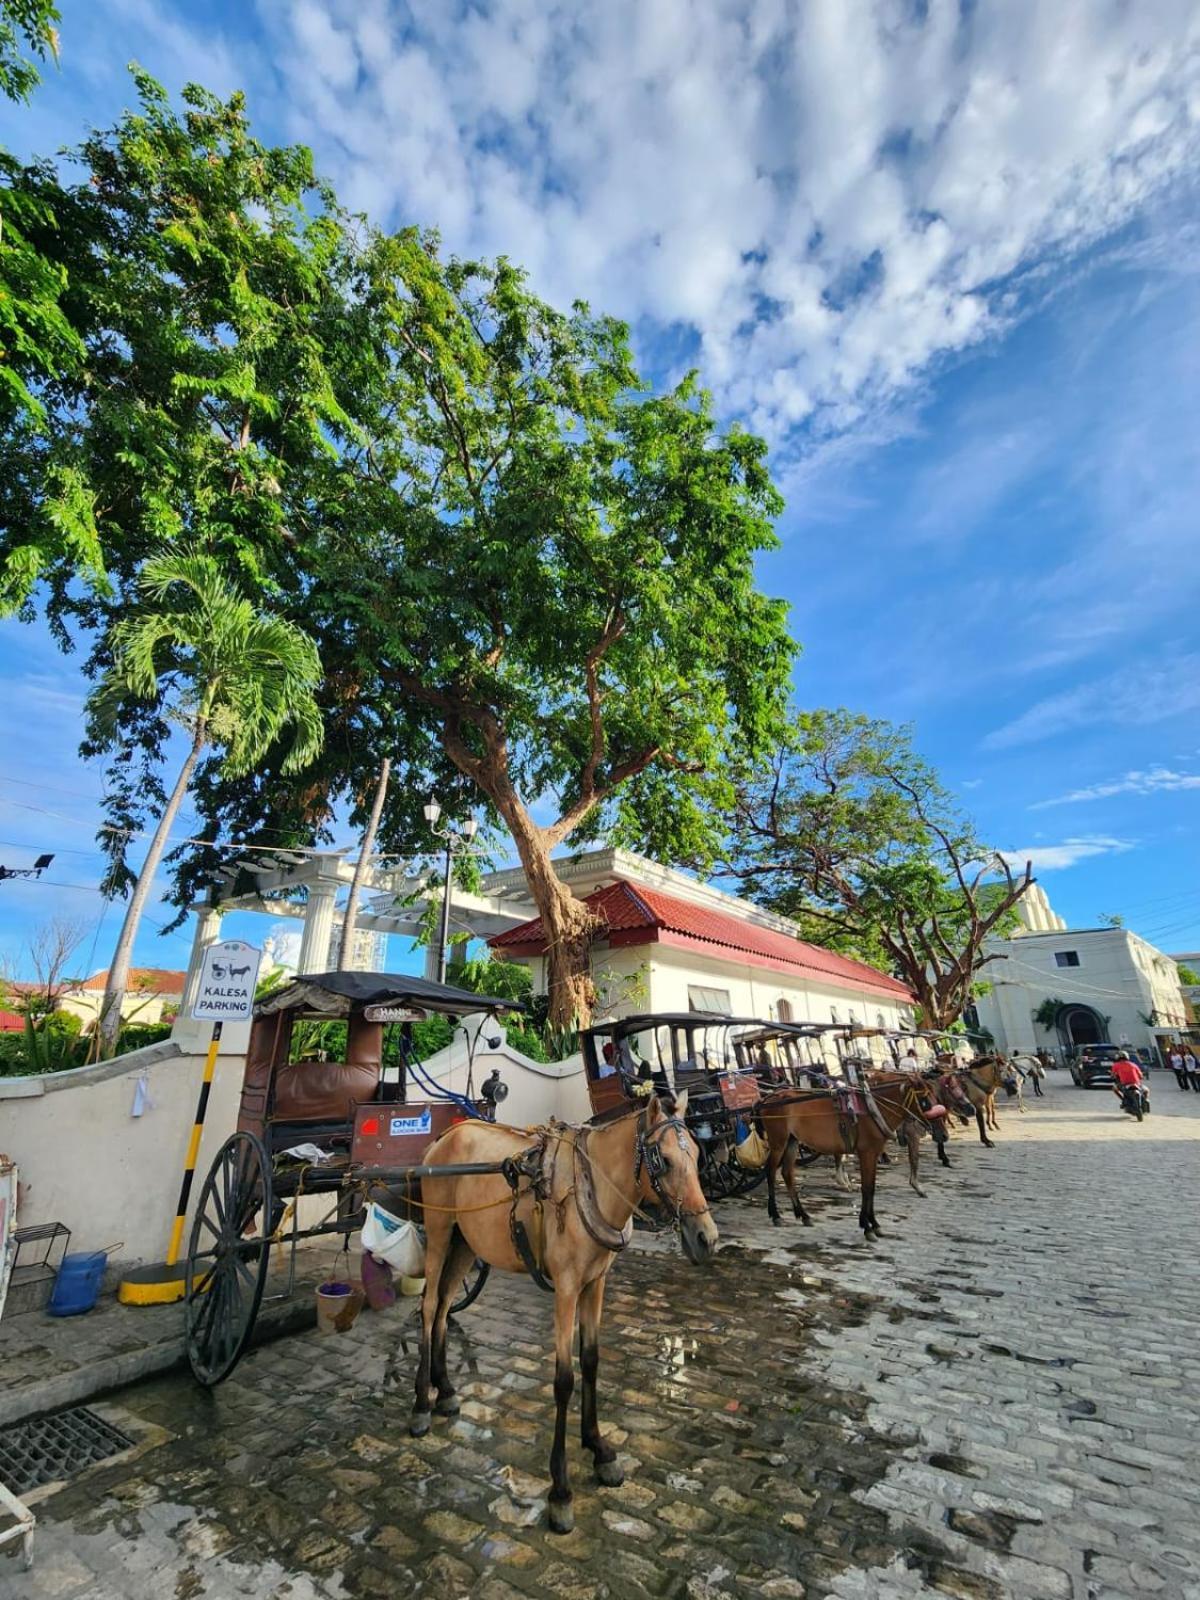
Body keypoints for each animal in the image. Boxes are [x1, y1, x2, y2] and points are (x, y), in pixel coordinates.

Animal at [416, 1094, 713, 1529]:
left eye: (698, 1154)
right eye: (666, 1161)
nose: (707, 1238)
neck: (592, 1187)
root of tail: (444, 1137)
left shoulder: (595, 1284)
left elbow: (590, 1361)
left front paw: (599, 1448)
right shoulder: (567, 1289)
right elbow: (563, 1380)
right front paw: (560, 1489)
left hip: (465, 1244)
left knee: (441, 1307)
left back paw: (447, 1391)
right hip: (438, 1233)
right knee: (427, 1307)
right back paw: (421, 1404)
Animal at [761, 1075, 940, 1235]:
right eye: (924, 1099)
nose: (936, 1128)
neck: (872, 1109)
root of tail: (771, 1096)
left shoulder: (874, 1153)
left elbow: (871, 1188)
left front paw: (873, 1224)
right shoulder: (866, 1153)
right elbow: (866, 1188)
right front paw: (867, 1226)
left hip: (792, 1141)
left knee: (787, 1174)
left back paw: (803, 1215)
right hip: (778, 1142)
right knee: (770, 1171)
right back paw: (775, 1215)